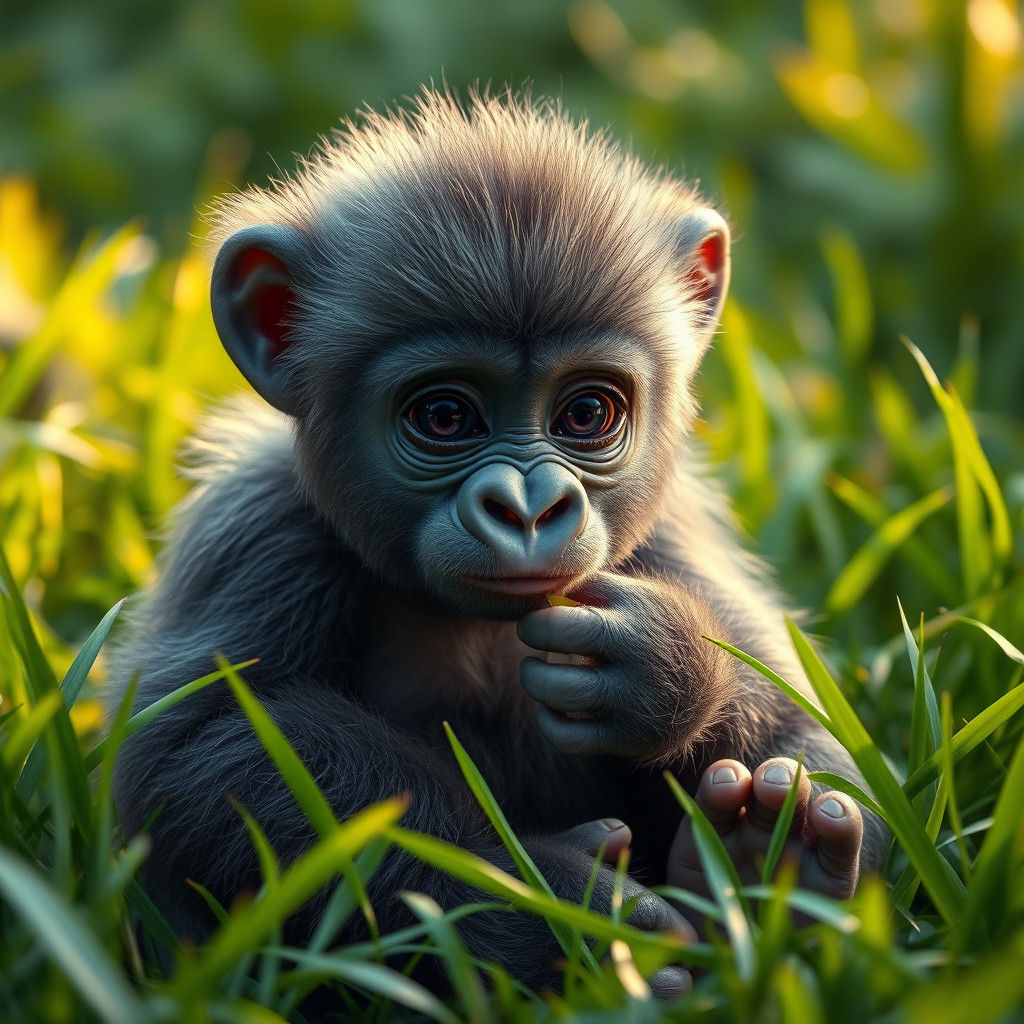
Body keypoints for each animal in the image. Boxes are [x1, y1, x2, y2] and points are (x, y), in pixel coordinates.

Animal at [109, 88, 886, 996]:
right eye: (445, 416)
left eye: (587, 412)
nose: (525, 507)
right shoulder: (259, 529)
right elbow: (205, 738)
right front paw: (559, 909)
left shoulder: (673, 530)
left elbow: (805, 714)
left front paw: (668, 666)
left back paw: (762, 863)